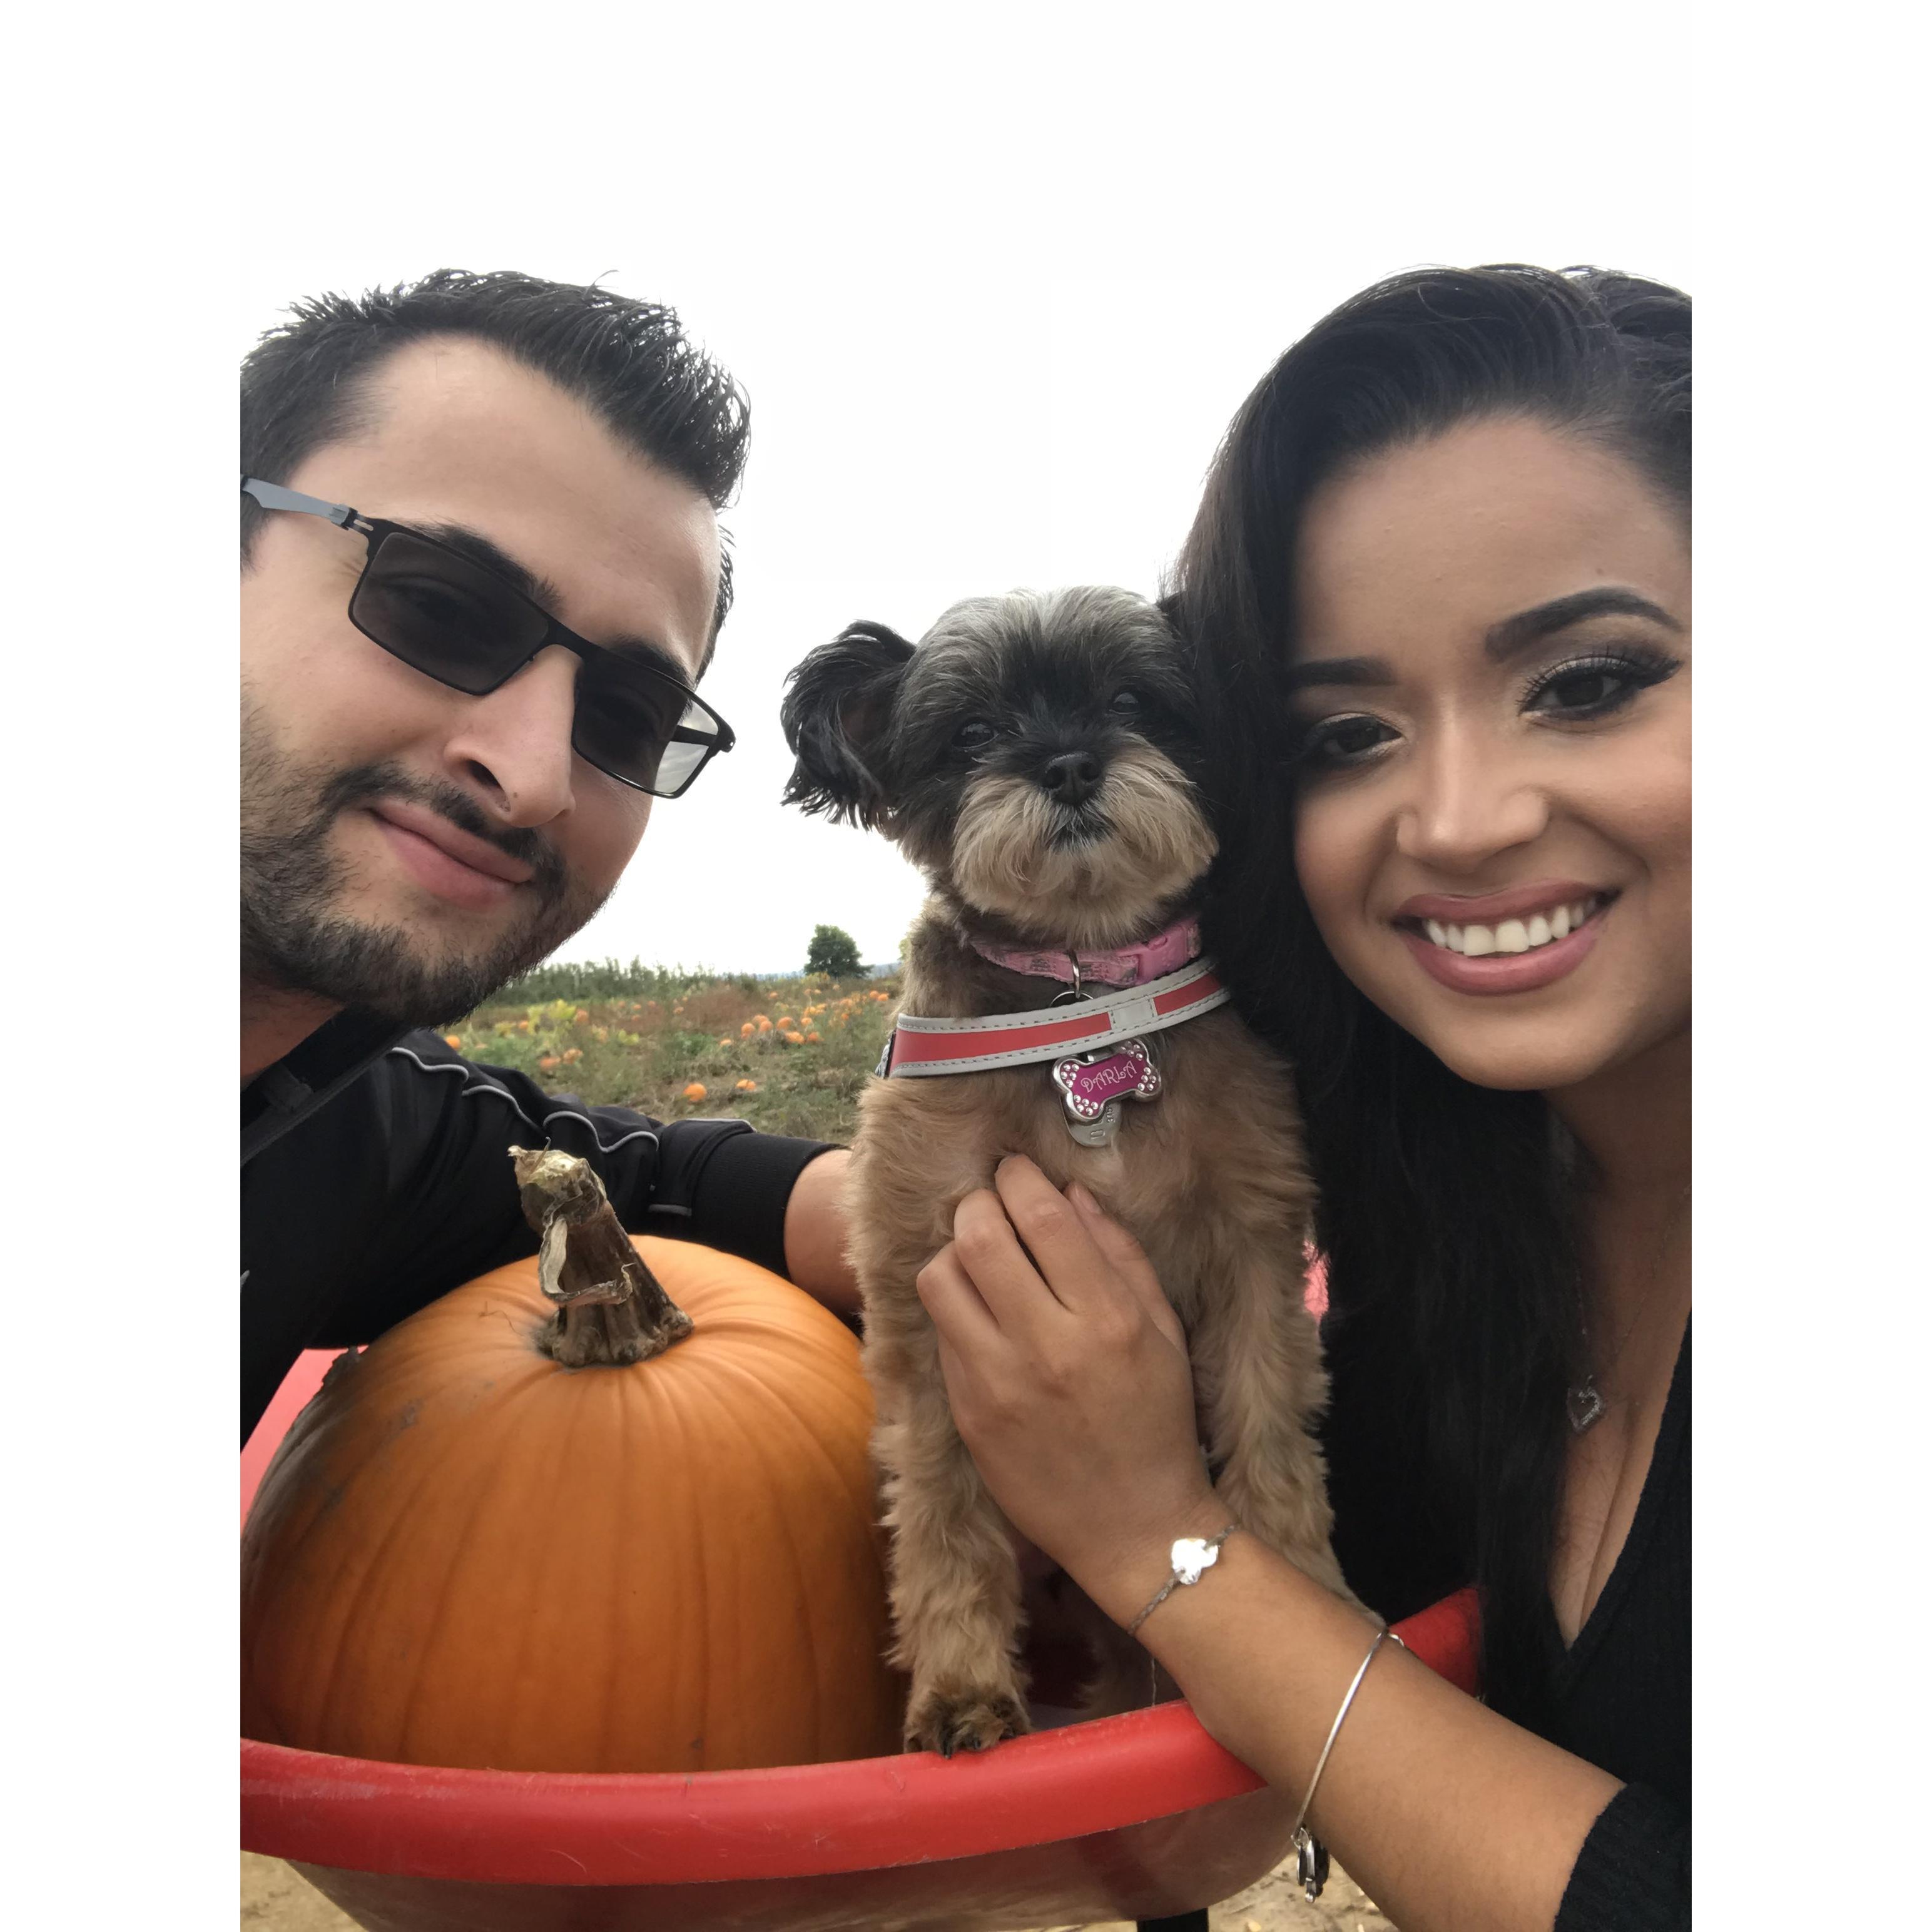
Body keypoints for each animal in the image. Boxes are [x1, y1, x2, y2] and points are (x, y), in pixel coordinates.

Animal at [776, 583, 1352, 1754]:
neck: (1084, 997)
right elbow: (944, 1507)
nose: (1070, 763)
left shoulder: (1251, 1252)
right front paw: (958, 1684)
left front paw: (1307, 1585)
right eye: (972, 733)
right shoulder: (922, 1294)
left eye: (1131, 700)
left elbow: (1270, 1433)